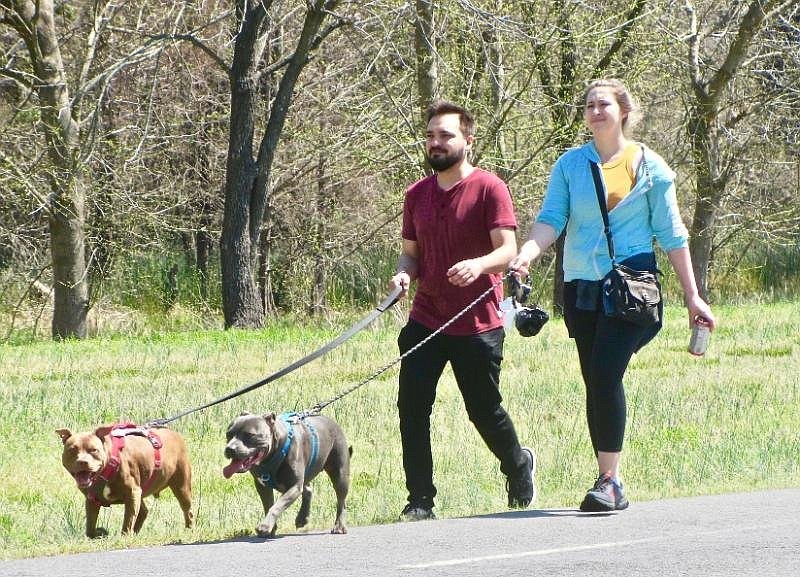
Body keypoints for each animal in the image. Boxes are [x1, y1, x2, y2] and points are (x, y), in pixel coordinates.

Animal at [56, 420, 194, 536]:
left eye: (93, 450)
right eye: (72, 450)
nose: (83, 462)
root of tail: (174, 433)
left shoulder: (132, 492)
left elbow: (128, 519)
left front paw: (125, 535)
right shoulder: (91, 500)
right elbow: (90, 528)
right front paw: (99, 533)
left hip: (181, 486)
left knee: (187, 510)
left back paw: (189, 529)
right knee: (143, 511)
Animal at [223, 410, 352, 536]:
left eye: (249, 435)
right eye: (228, 434)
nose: (229, 449)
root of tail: (332, 422)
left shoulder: (294, 486)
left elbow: (277, 506)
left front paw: (265, 526)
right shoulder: (262, 486)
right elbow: (268, 505)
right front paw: (271, 528)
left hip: (340, 474)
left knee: (341, 501)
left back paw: (339, 526)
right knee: (308, 490)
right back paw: (302, 518)